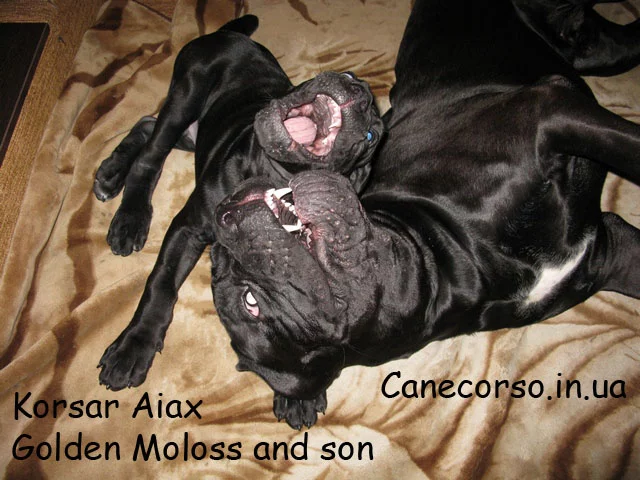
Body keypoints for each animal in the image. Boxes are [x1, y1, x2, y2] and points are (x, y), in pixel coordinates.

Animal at [96, 15, 383, 391]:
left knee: (146, 126)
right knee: (151, 152)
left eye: (371, 137)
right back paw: (126, 212)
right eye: (349, 76)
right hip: (186, 94)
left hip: (193, 129)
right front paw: (134, 345)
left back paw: (112, 176)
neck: (267, 170)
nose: (359, 91)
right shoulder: (188, 227)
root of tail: (227, 33)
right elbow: (160, 284)